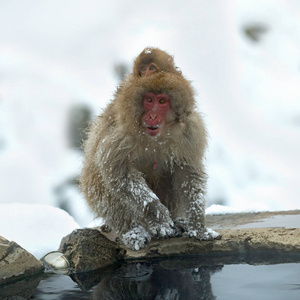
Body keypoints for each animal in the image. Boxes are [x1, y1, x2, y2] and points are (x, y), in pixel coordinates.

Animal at [80, 48, 220, 250]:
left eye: (161, 102)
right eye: (148, 100)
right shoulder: (120, 133)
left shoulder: (191, 131)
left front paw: (198, 227)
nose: (152, 116)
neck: (156, 138)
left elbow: (188, 172)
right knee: (101, 178)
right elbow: (118, 172)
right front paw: (159, 217)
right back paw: (133, 231)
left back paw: (178, 222)